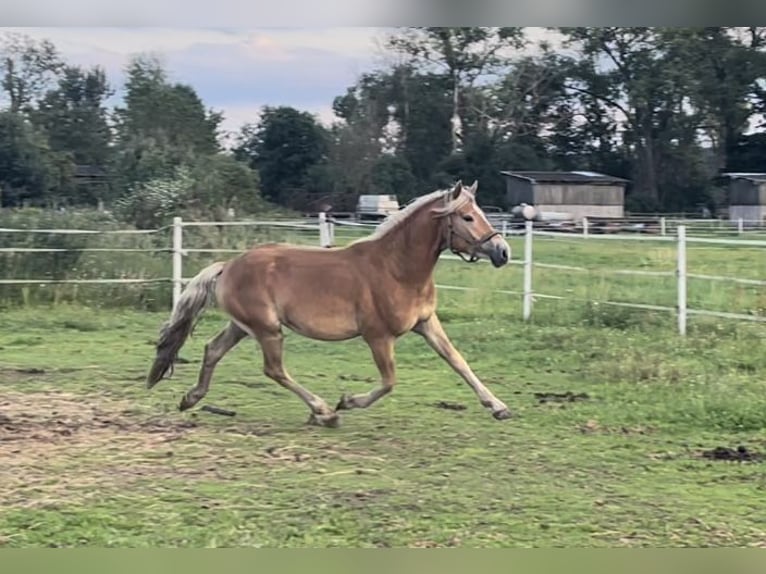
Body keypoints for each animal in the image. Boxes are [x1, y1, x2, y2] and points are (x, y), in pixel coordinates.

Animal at [144, 180, 516, 428]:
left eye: (480, 213)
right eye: (467, 218)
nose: (503, 252)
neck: (396, 269)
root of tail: (228, 266)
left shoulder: (426, 323)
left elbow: (458, 361)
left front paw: (498, 406)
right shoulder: (378, 337)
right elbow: (389, 381)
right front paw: (347, 401)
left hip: (243, 326)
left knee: (213, 350)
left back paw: (191, 398)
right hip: (268, 330)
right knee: (273, 369)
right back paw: (324, 412)